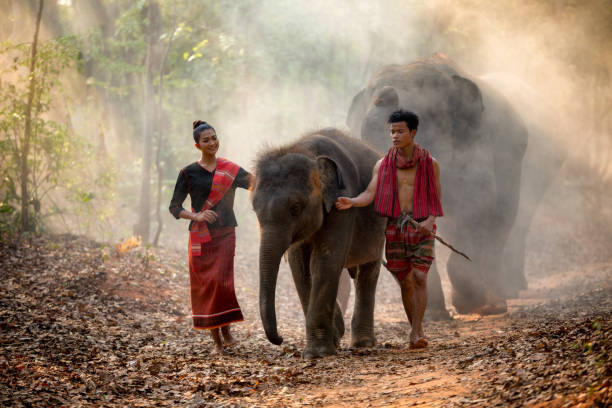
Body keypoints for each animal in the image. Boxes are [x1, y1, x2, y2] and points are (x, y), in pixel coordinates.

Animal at [251, 126, 384, 356]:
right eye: (254, 209)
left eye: (295, 208)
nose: (280, 338)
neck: (307, 152)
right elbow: (300, 267)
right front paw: (335, 336)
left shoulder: (343, 202)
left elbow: (325, 261)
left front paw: (318, 353)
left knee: (368, 272)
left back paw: (363, 344)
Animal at [352, 53, 528, 316]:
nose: (385, 95)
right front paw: (434, 314)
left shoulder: (475, 142)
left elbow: (477, 204)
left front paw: (469, 304)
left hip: (512, 162)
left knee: (501, 220)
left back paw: (494, 303)